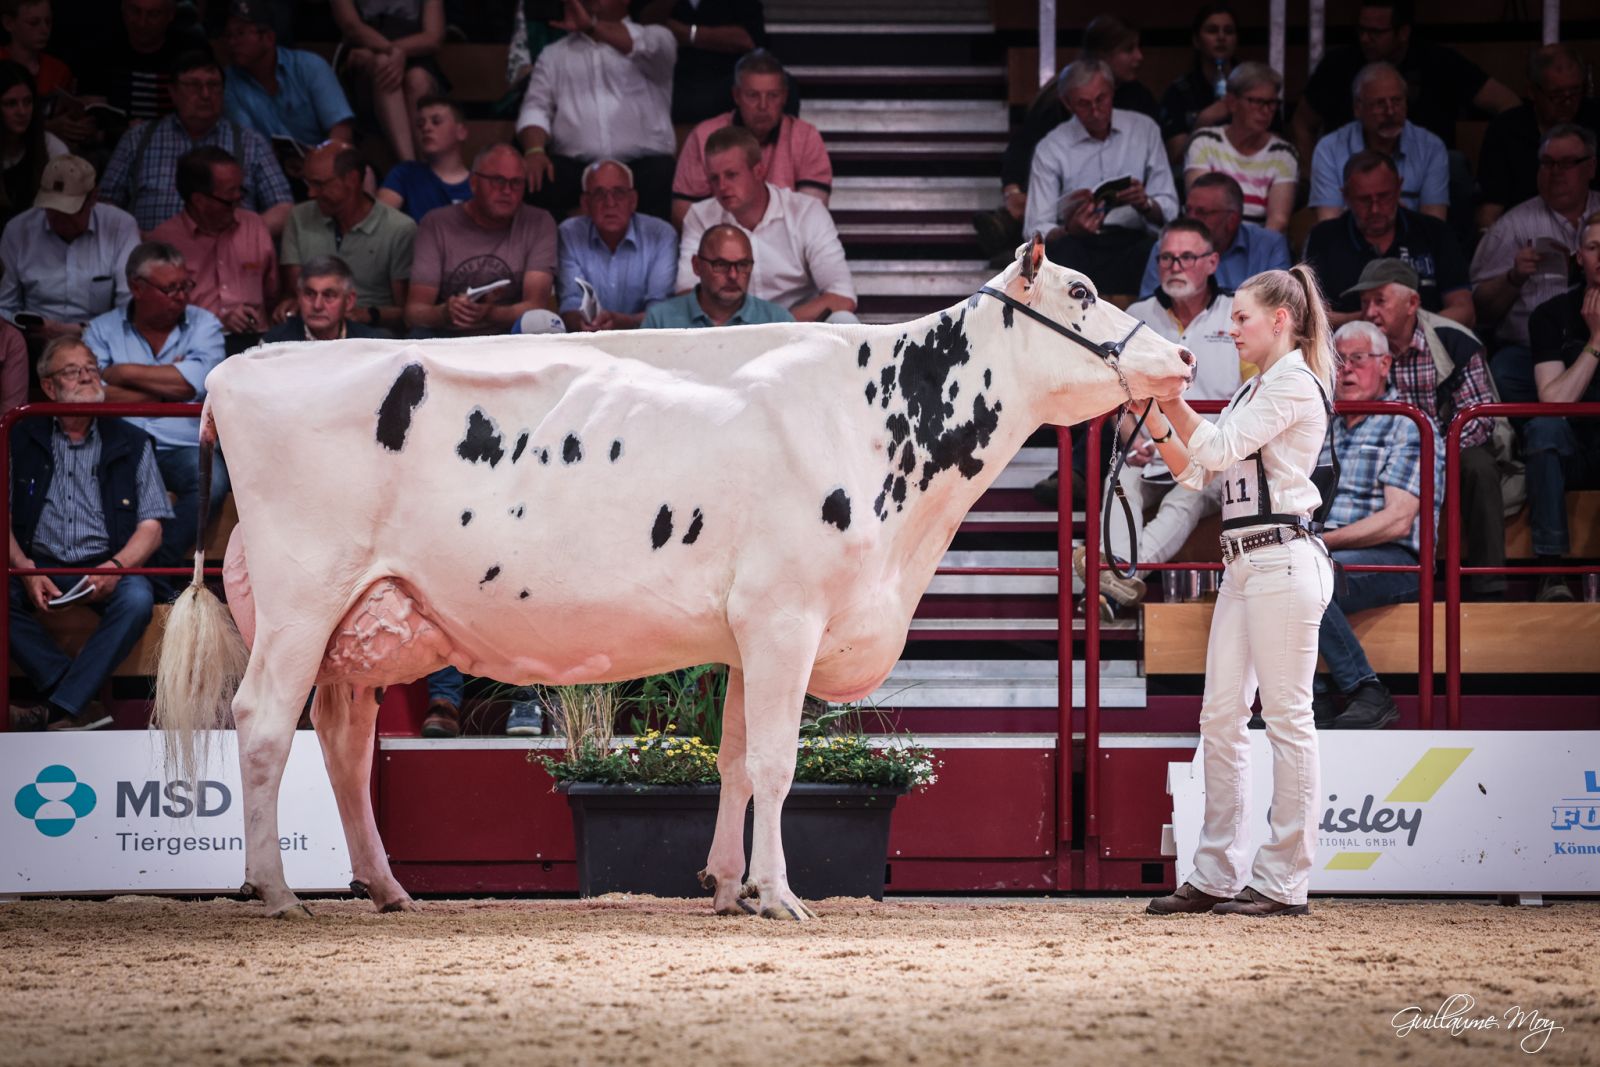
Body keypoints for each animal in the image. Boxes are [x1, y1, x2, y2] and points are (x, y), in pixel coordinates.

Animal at [154, 239, 1195, 920]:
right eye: (1082, 287)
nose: (1183, 355)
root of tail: (243, 371)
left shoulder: (746, 632)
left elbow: (733, 758)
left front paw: (727, 885)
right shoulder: (785, 617)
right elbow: (776, 762)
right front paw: (778, 894)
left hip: (364, 619)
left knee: (342, 738)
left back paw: (387, 887)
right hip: (301, 597)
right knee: (261, 723)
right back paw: (276, 890)